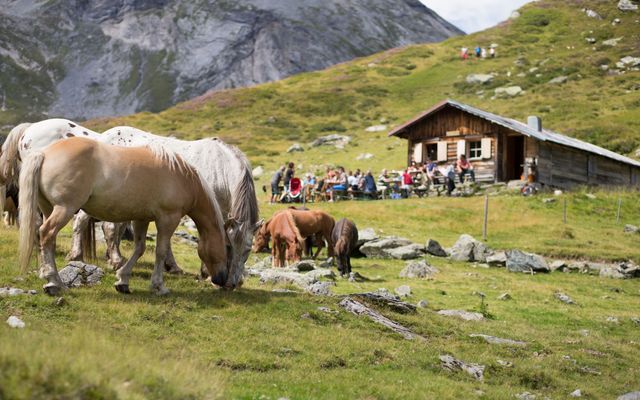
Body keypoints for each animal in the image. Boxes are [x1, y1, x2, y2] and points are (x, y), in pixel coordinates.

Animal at [17, 139, 231, 296]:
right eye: (227, 248)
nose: (222, 280)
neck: (184, 177)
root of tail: (44, 153)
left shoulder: (142, 219)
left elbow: (139, 248)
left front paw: (123, 280)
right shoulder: (168, 218)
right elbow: (160, 252)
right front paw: (158, 286)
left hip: (48, 208)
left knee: (45, 237)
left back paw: (47, 275)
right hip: (65, 209)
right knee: (47, 233)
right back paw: (54, 282)